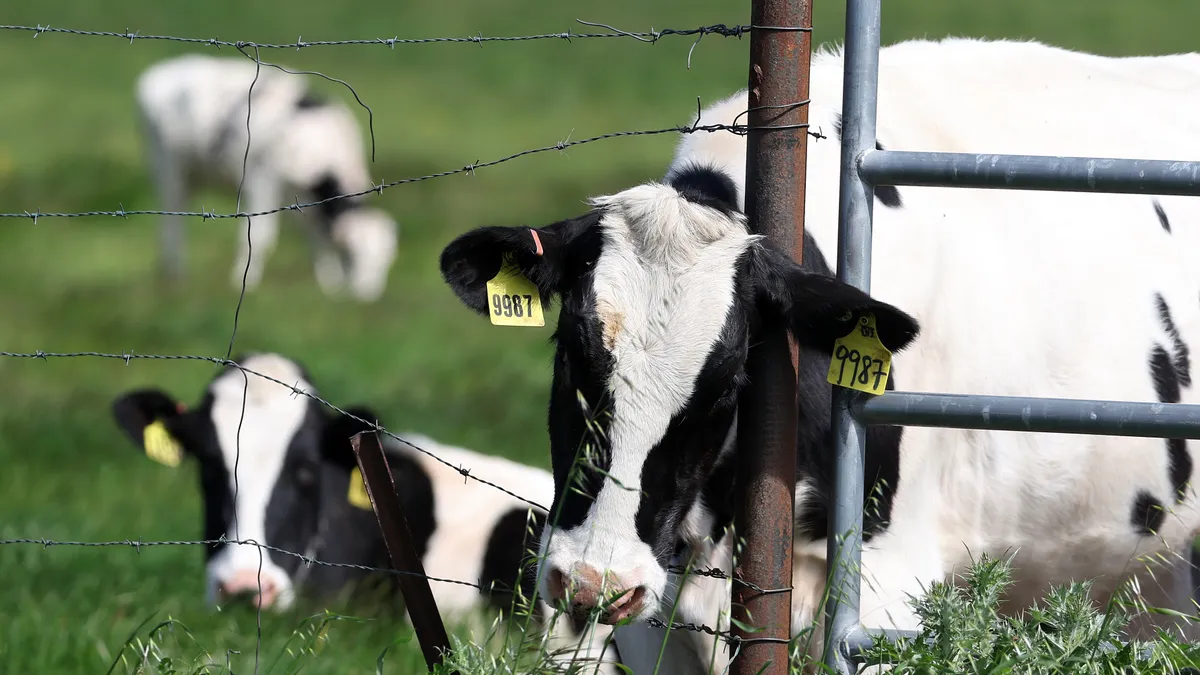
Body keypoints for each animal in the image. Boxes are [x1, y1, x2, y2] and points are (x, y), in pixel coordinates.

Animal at [135, 53, 398, 300]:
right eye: (351, 255)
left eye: (386, 261)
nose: (366, 295)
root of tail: (162, 71)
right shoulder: (262, 180)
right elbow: (260, 237)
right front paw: (243, 283)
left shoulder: (304, 200)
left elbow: (317, 239)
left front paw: (328, 286)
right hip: (167, 166)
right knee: (171, 221)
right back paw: (175, 275)